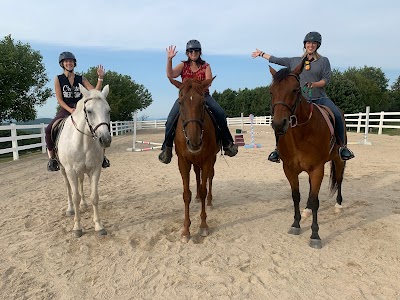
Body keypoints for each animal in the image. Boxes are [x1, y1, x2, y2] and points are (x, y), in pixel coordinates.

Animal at [57, 83, 111, 238]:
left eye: (108, 111)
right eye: (89, 111)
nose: (105, 139)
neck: (83, 142)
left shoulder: (95, 170)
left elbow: (94, 197)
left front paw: (99, 226)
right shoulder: (71, 171)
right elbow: (75, 196)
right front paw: (77, 228)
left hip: (81, 171)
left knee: (80, 185)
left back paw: (84, 204)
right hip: (64, 170)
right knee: (68, 188)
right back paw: (70, 209)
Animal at [168, 76, 220, 243]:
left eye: (203, 102)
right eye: (180, 102)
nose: (194, 142)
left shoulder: (208, 159)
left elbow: (204, 189)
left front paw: (203, 226)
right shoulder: (183, 162)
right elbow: (186, 194)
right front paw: (186, 230)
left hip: (212, 159)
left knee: (209, 177)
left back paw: (209, 202)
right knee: (197, 175)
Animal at [268, 61, 346, 248]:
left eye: (295, 90)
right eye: (271, 91)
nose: (279, 124)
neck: (301, 133)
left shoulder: (317, 169)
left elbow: (316, 200)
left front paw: (315, 235)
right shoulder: (289, 169)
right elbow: (296, 196)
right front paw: (296, 224)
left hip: (338, 160)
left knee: (339, 179)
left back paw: (338, 205)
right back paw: (307, 210)